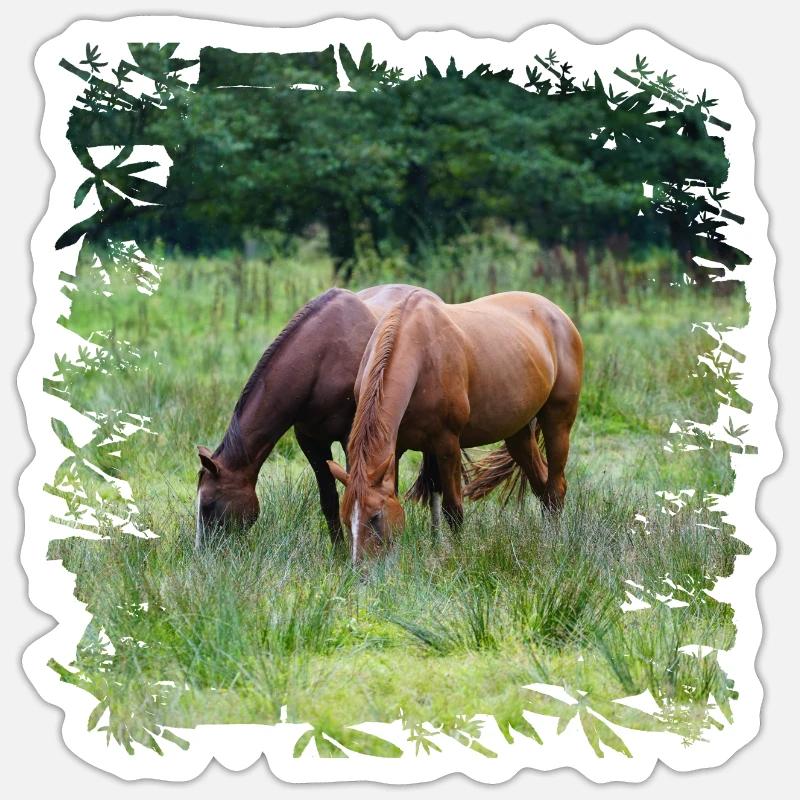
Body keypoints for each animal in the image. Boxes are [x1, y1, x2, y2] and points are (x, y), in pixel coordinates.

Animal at [195, 284, 439, 548]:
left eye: (208, 505)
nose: (203, 553)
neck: (322, 360)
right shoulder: (310, 440)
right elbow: (329, 500)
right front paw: (339, 552)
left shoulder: (351, 440)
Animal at [326, 289, 583, 563]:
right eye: (346, 519)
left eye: (375, 517)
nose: (360, 569)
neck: (420, 353)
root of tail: (558, 315)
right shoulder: (396, 447)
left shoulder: (447, 443)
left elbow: (453, 508)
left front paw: (456, 553)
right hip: (518, 433)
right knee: (542, 484)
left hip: (558, 422)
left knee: (555, 488)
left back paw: (553, 544)